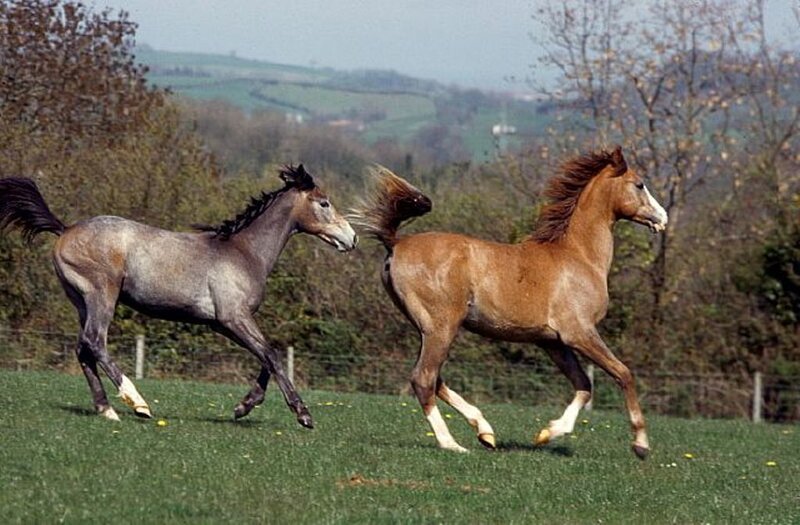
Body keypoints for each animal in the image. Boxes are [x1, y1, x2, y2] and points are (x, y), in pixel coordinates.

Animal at [0, 165, 357, 428]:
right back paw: (137, 403)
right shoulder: (234, 317)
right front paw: (302, 414)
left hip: (81, 302)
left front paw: (244, 406)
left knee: (82, 349)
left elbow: (267, 356)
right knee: (95, 342)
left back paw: (106, 409)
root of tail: (65, 229)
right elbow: (272, 355)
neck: (243, 253)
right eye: (324, 203)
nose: (351, 238)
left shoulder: (223, 323)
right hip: (102, 295)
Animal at [351, 147, 667, 458]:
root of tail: (396, 243)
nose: (662, 218)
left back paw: (485, 432)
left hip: (426, 329)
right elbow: (623, 373)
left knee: (435, 379)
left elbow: (583, 384)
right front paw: (641, 445)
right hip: (441, 327)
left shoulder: (552, 341)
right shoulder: (579, 333)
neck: (578, 255)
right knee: (423, 378)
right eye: (639, 184)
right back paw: (452, 443)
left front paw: (547, 433)